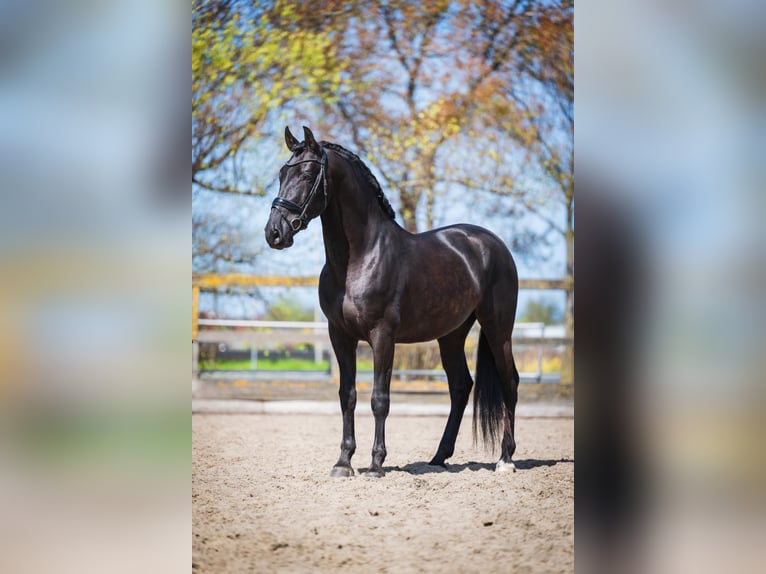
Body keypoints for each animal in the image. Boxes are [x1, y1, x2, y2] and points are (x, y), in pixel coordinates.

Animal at [265, 126, 520, 477]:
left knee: (510, 382)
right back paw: (438, 457)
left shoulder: (382, 336)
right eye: (281, 174)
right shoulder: (339, 336)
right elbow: (347, 395)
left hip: (498, 328)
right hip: (451, 335)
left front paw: (375, 464)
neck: (359, 258)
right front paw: (343, 462)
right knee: (460, 386)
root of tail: (494, 245)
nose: (274, 232)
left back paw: (505, 459)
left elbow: (379, 399)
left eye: (306, 174)